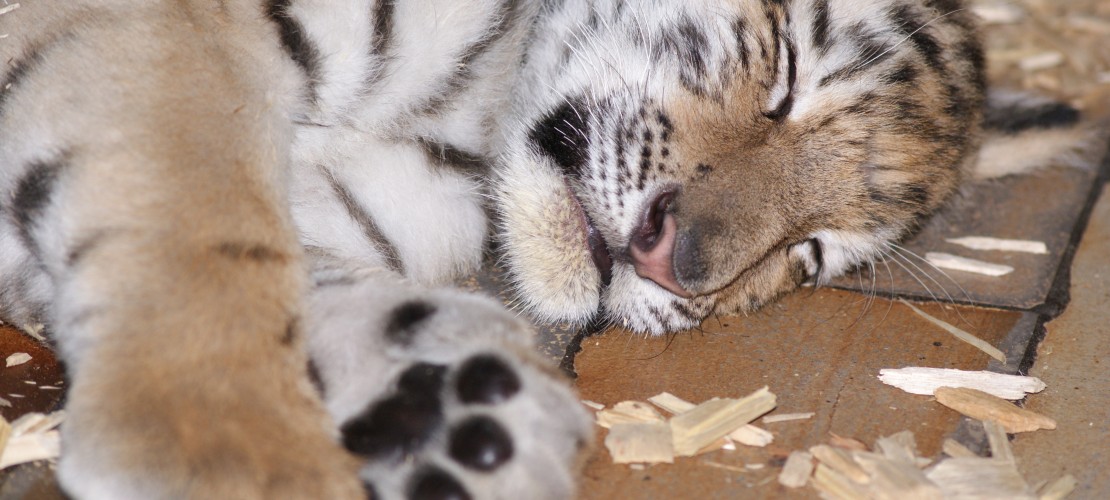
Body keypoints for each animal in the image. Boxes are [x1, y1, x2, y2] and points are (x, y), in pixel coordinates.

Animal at [0, 0, 1100, 498]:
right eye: (787, 76)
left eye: (810, 251)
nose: (672, 264)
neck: (464, 120)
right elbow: (191, 222)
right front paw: (218, 447)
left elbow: (281, 271)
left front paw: (459, 413)